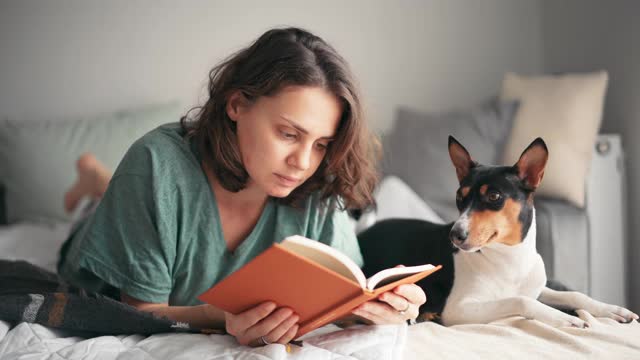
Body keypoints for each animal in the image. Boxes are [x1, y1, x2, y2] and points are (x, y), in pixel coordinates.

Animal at [358, 136, 636, 328]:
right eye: (459, 198)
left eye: (493, 196)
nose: (455, 235)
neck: (509, 260)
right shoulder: (460, 308)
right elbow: (520, 301)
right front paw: (562, 318)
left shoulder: (538, 287)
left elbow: (575, 295)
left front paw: (612, 310)